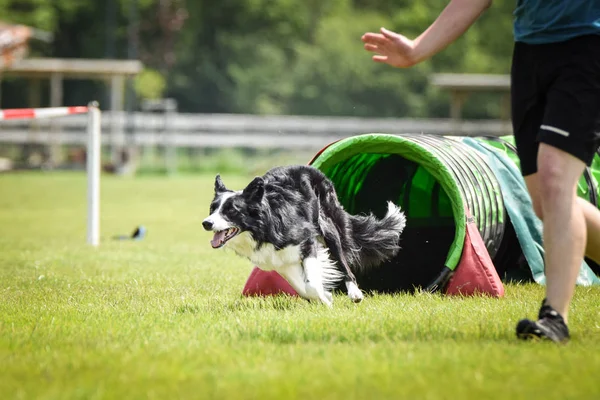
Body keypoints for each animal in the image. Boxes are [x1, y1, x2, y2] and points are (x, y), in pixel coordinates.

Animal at [203, 165, 408, 306]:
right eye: (212, 208)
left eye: (231, 210)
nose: (206, 223)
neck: (263, 227)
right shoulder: (279, 260)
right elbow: (301, 287)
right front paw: (325, 297)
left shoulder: (307, 242)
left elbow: (310, 284)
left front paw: (326, 300)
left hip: (329, 228)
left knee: (344, 264)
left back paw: (355, 293)